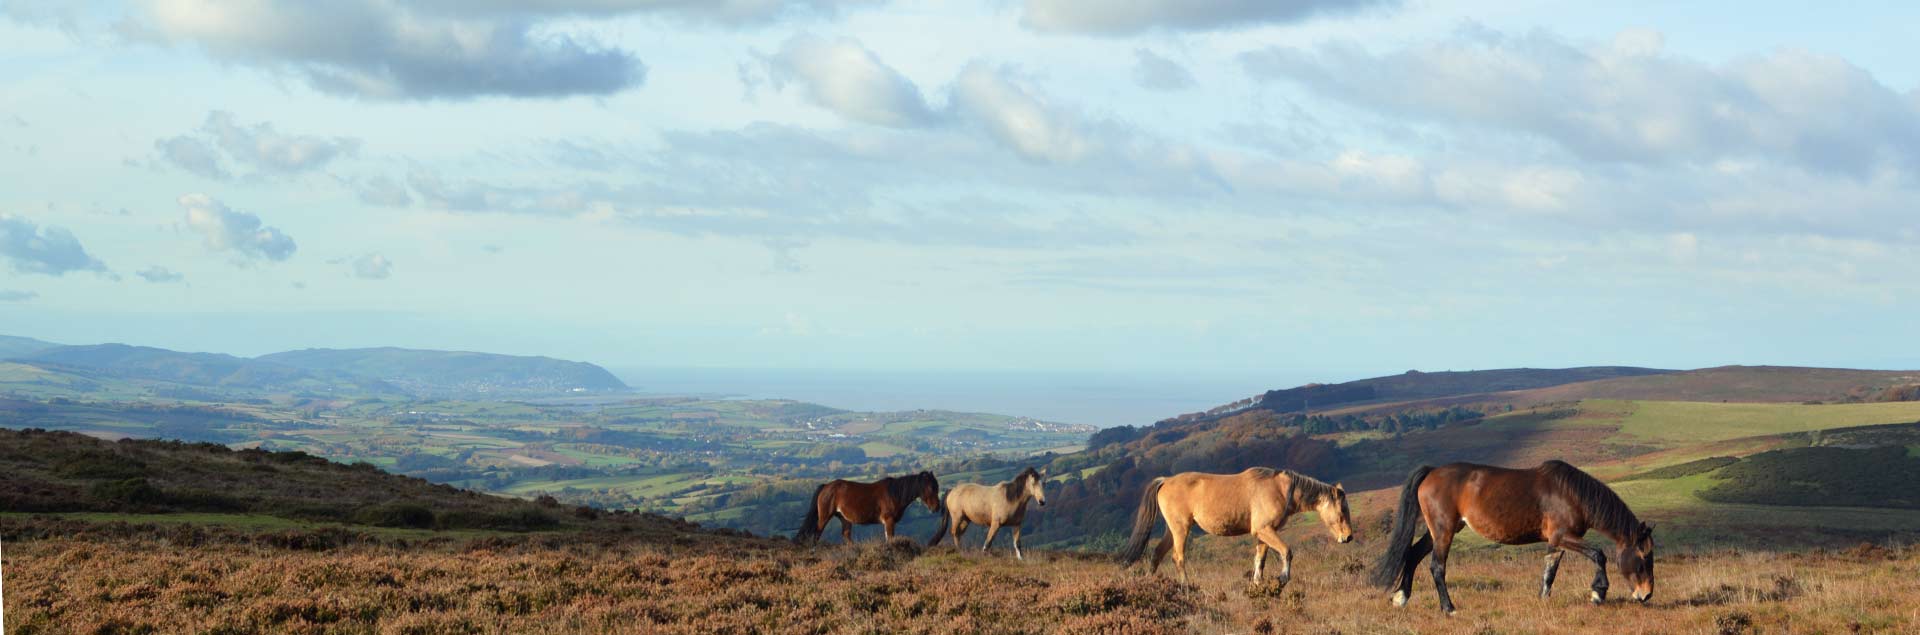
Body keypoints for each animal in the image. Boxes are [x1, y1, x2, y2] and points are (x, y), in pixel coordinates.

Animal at [794, 471, 944, 548]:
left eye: (937, 486)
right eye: (931, 487)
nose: (936, 507)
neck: (894, 493)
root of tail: (826, 487)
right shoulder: (889, 521)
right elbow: (890, 538)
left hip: (844, 518)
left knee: (846, 535)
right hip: (825, 516)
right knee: (817, 534)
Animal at [1113, 468, 1351, 587]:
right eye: (1342, 510)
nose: (1348, 537)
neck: (1281, 489)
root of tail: (1165, 480)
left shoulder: (1264, 534)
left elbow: (1260, 560)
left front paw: (1257, 584)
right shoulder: (1264, 530)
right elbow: (1286, 552)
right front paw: (1283, 579)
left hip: (1172, 530)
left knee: (1157, 554)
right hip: (1181, 529)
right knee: (1177, 558)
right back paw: (1186, 586)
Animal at [1374, 462, 1658, 617]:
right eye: (1644, 557)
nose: (1646, 595)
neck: (1571, 494)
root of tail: (1432, 472)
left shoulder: (1555, 541)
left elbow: (1550, 571)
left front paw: (1543, 599)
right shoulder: (1564, 536)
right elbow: (1598, 554)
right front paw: (1598, 593)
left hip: (1440, 530)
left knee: (1412, 555)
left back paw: (1401, 598)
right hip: (1444, 530)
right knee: (1436, 566)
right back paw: (1448, 607)